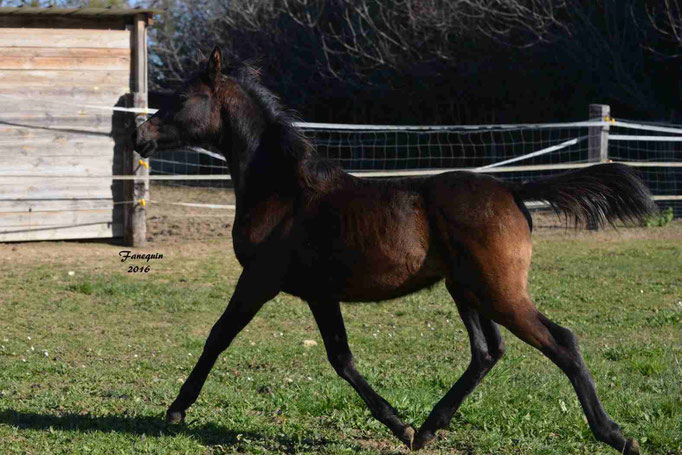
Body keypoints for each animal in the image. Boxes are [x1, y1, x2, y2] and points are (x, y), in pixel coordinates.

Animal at [133, 46, 652, 452]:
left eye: (181, 99)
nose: (140, 137)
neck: (283, 188)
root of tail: (513, 190)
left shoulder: (260, 279)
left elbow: (219, 336)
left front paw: (176, 410)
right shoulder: (319, 292)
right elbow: (341, 358)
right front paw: (400, 424)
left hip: (499, 292)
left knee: (561, 341)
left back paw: (614, 434)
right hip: (468, 290)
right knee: (487, 352)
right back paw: (427, 429)